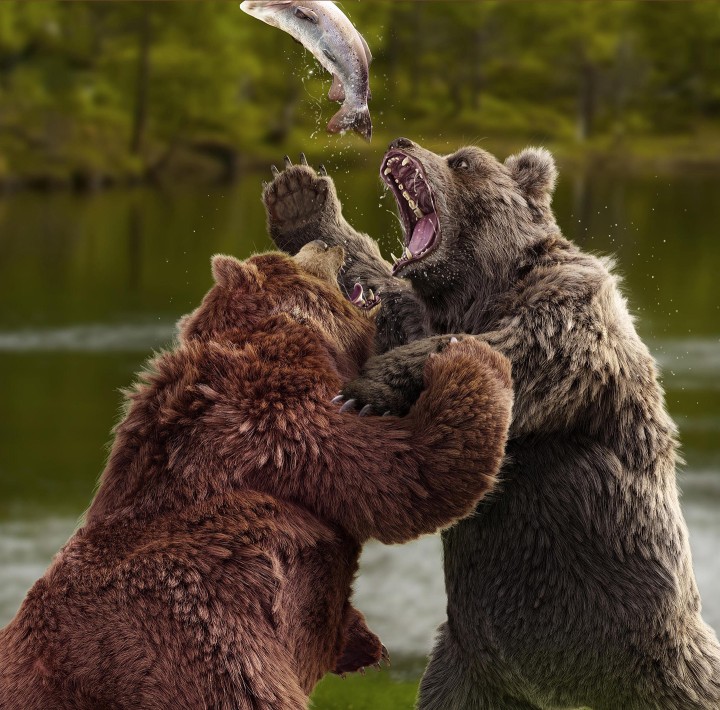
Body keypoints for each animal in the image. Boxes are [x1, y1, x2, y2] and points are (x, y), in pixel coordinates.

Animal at [0, 240, 513, 710]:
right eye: (286, 256)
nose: (324, 241)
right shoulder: (276, 425)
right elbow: (405, 472)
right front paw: (464, 355)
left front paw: (359, 641)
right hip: (193, 654)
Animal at [263, 144, 720, 709]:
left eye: (463, 161)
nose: (400, 144)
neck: (482, 289)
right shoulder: (422, 310)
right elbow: (381, 301)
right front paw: (300, 202)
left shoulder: (570, 310)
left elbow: (518, 351)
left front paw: (372, 386)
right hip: (469, 666)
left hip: (657, 651)